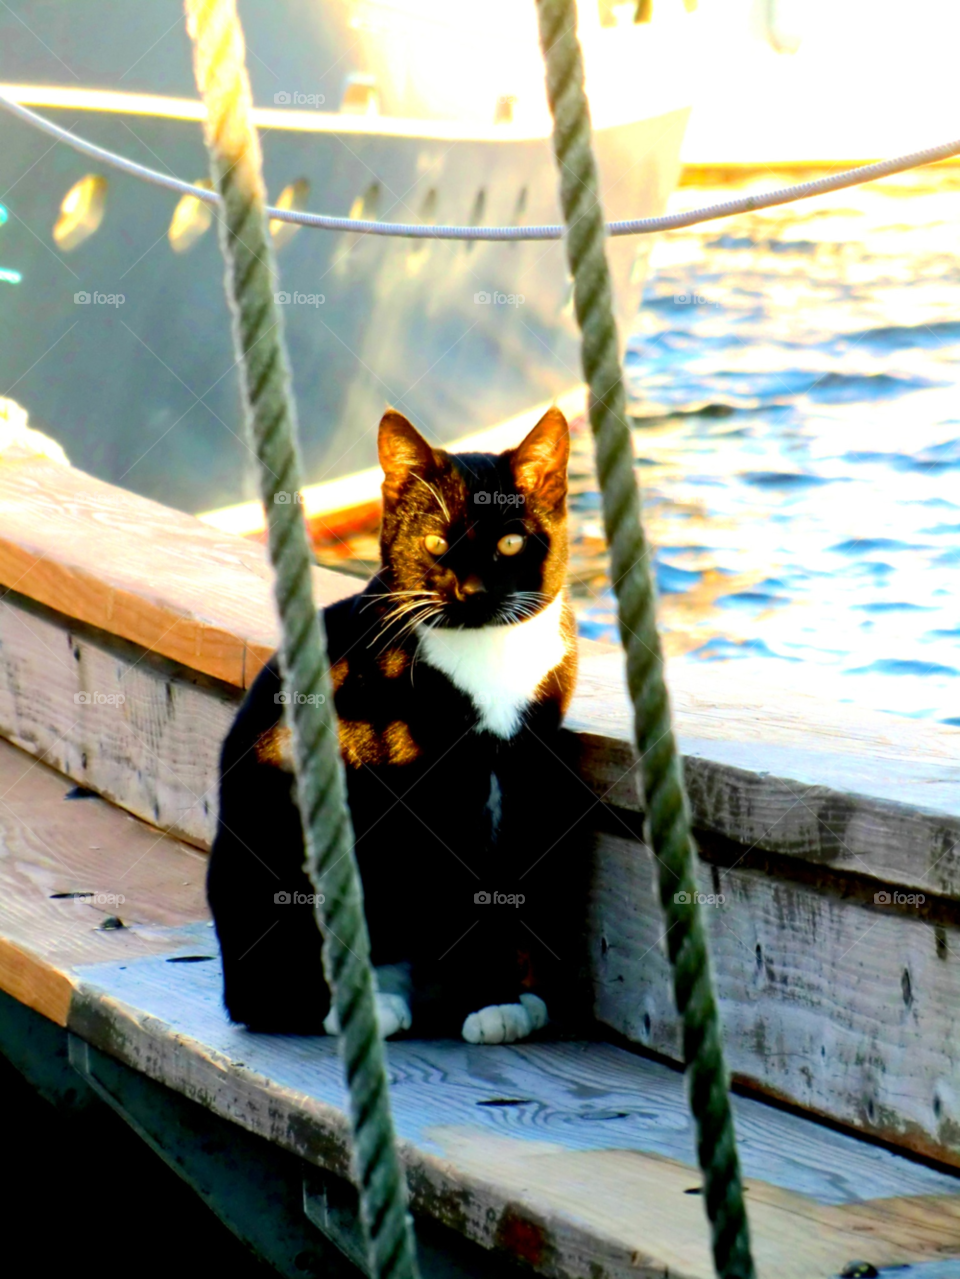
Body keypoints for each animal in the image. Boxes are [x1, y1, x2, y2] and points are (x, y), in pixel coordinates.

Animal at [205, 404, 590, 1043]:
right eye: (434, 542)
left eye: (510, 542)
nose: (472, 591)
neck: (486, 653)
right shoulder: (423, 789)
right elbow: (458, 893)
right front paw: (489, 1000)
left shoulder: (528, 760)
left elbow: (508, 880)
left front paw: (513, 993)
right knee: (259, 995)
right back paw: (359, 1004)